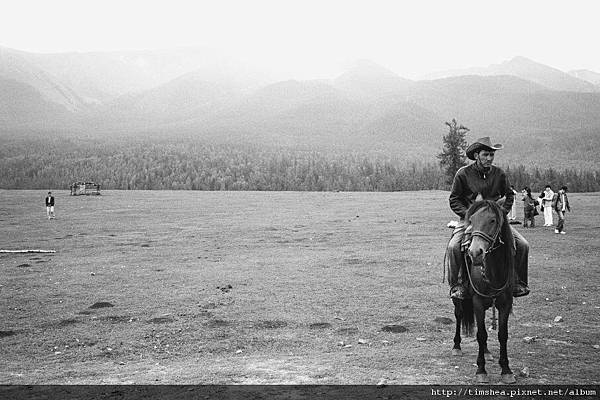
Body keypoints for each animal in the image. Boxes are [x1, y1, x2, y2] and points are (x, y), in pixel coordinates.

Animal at [450, 200, 516, 384]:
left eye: (493, 220)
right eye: (471, 220)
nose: (474, 252)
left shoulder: (505, 303)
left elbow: (502, 334)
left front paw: (506, 369)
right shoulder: (477, 302)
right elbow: (481, 334)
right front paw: (481, 370)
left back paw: (487, 352)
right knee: (459, 315)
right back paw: (456, 346)